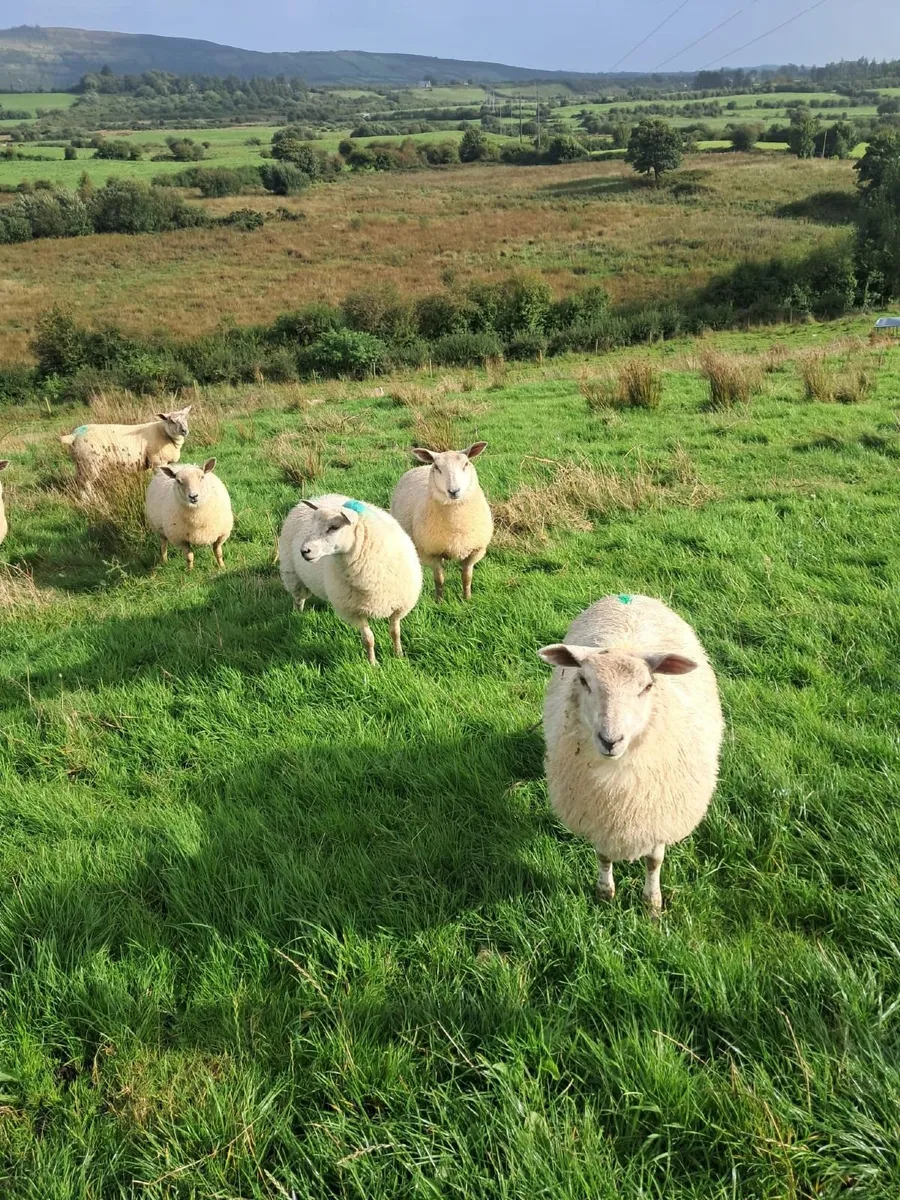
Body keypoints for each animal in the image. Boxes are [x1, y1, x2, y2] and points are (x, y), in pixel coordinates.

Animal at [60, 406, 191, 490]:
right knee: (85, 483)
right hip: (90, 463)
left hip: (80, 463)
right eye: (171, 421)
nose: (184, 431)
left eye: (186, 418)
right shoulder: (158, 461)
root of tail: (73, 435)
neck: (165, 434)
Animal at [278, 494, 422, 665]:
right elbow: (368, 639)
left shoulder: (399, 605)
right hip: (292, 574)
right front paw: (373, 664)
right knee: (298, 599)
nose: (304, 551)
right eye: (312, 526)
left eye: (334, 527)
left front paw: (399, 655)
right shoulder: (355, 611)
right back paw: (297, 615)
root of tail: (319, 497)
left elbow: (395, 632)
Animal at [390, 443, 492, 602]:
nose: (454, 491)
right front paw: (440, 601)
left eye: (466, 464)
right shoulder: (431, 553)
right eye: (437, 467)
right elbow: (439, 579)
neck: (456, 525)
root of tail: (421, 467)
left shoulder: (475, 551)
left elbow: (467, 577)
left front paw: (467, 598)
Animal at [538, 594, 723, 914]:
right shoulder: (600, 815)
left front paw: (652, 905)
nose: (610, 740)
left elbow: (653, 861)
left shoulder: (658, 815)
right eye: (584, 681)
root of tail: (630, 595)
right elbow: (603, 857)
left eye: (647, 686)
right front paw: (604, 894)